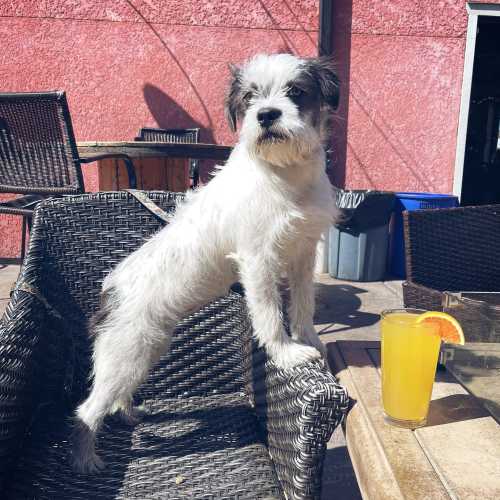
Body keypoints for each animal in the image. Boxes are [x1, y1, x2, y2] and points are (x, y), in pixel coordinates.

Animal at [71, 53, 340, 472]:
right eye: (250, 98)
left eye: (296, 91)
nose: (266, 115)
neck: (283, 174)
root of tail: (109, 293)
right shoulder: (258, 261)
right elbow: (269, 314)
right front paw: (285, 353)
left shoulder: (302, 254)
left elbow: (302, 305)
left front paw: (308, 339)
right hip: (126, 354)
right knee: (87, 409)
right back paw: (86, 460)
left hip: (143, 351)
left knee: (116, 396)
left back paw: (127, 414)